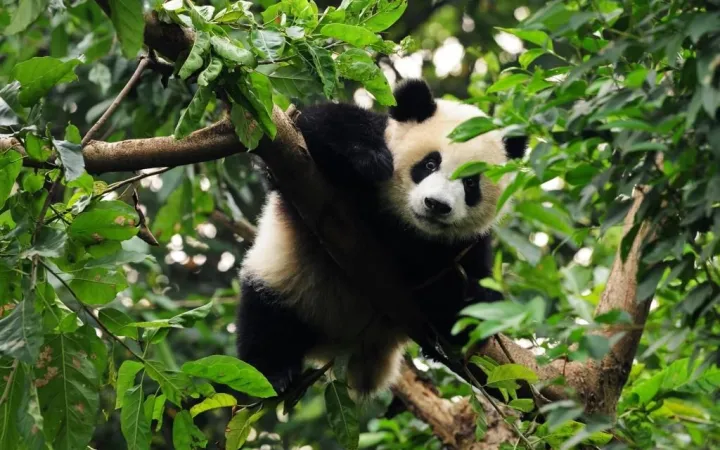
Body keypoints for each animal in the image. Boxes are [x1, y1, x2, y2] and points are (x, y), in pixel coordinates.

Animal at [236, 79, 526, 397]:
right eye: (430, 164)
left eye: (471, 183)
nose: (437, 205)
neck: (403, 226)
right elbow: (317, 124)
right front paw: (369, 158)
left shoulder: (464, 247)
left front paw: (474, 297)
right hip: (287, 281)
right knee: (267, 321)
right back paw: (274, 373)